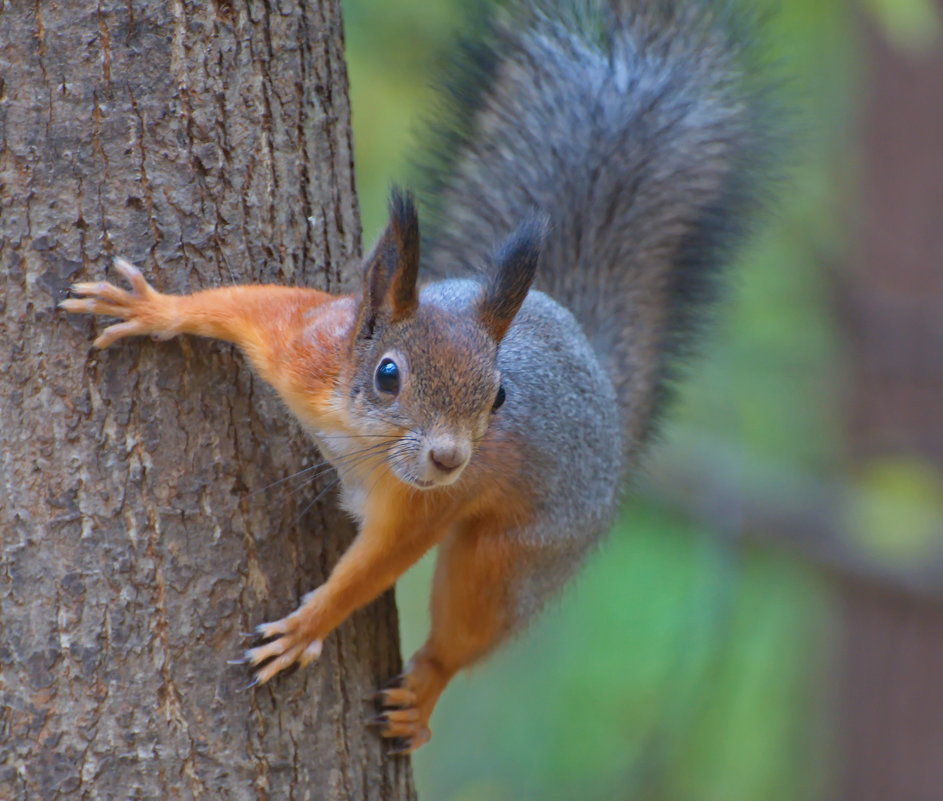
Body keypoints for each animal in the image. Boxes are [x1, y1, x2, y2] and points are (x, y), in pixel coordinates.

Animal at [62, 0, 780, 752]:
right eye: (387, 375)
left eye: (499, 396)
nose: (448, 457)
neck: (356, 437)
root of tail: (608, 402)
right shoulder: (307, 346)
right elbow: (243, 305)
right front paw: (153, 309)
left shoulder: (426, 507)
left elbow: (374, 568)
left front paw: (306, 627)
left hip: (521, 552)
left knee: (468, 625)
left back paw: (425, 688)